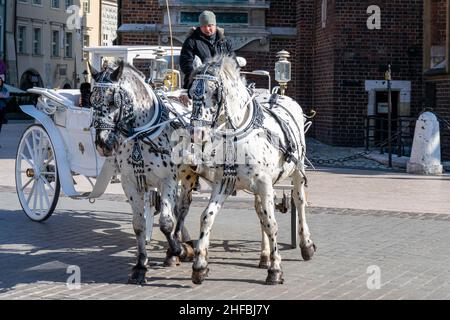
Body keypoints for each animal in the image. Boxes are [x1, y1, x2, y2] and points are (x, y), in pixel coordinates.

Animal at [89, 61, 198, 284]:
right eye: (91, 101)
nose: (103, 144)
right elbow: (138, 224)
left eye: (113, 102)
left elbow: (165, 223)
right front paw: (140, 266)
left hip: (188, 175)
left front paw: (178, 250)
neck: (142, 135)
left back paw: (180, 247)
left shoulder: (168, 180)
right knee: (177, 209)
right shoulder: (130, 184)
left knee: (182, 208)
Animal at [186, 55, 316, 284]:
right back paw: (264, 255)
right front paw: (200, 265)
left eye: (214, 94)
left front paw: (276, 269)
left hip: (297, 172)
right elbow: (207, 216)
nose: (196, 133)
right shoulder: (224, 183)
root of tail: (279, 95)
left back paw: (305, 245)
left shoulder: (264, 184)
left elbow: (272, 223)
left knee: (299, 203)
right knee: (260, 210)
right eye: (191, 93)